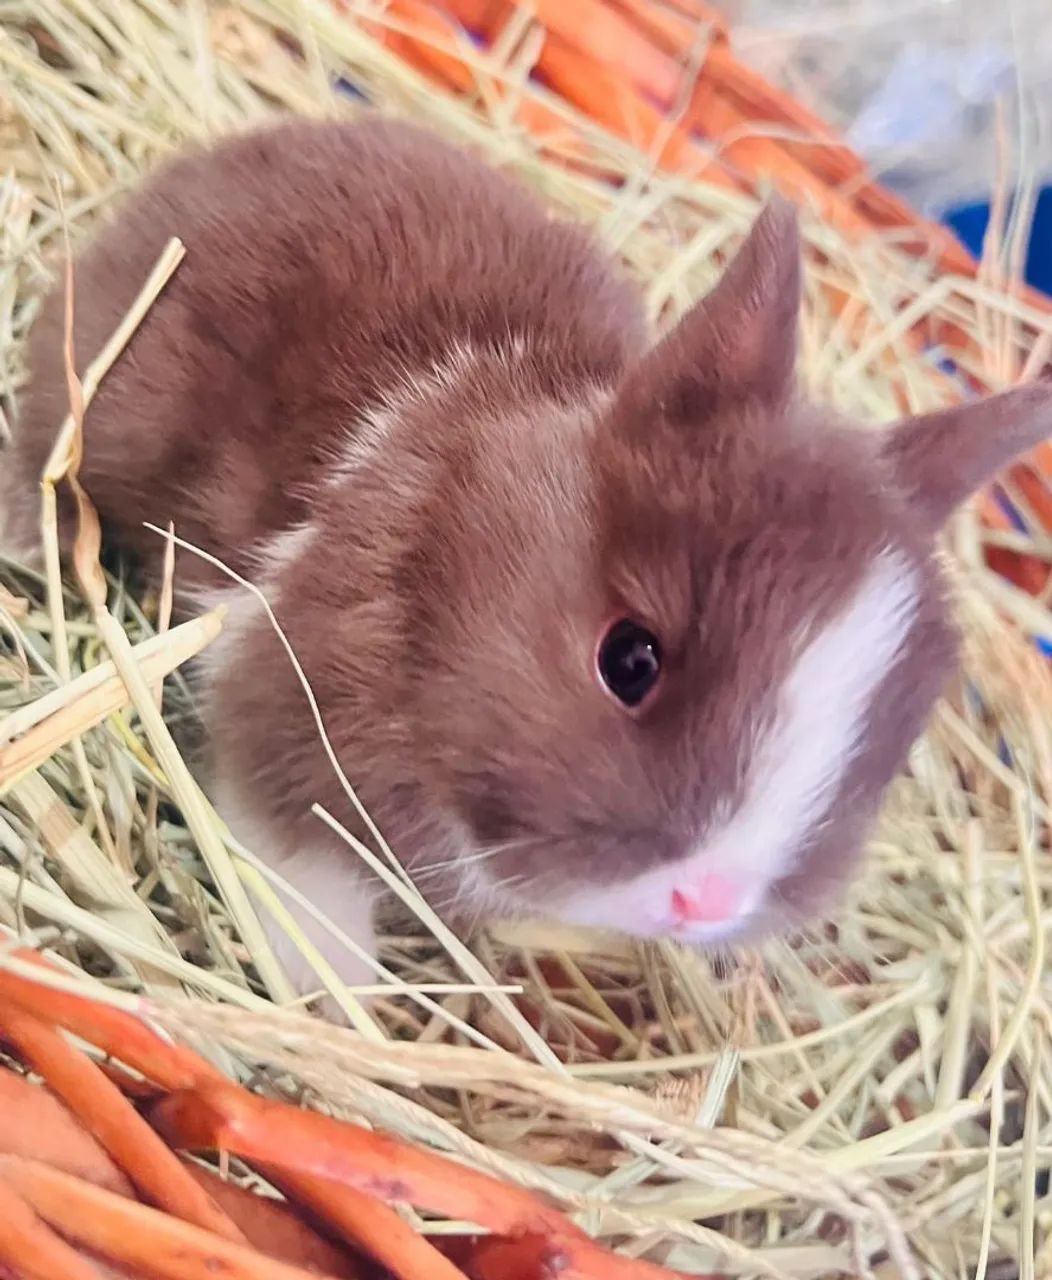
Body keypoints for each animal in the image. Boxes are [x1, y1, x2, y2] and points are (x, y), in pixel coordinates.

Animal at [2, 115, 1050, 1007]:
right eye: (630, 658)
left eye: (886, 755)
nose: (704, 899)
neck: (450, 544)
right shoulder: (282, 711)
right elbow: (301, 860)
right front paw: (336, 993)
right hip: (90, 405)